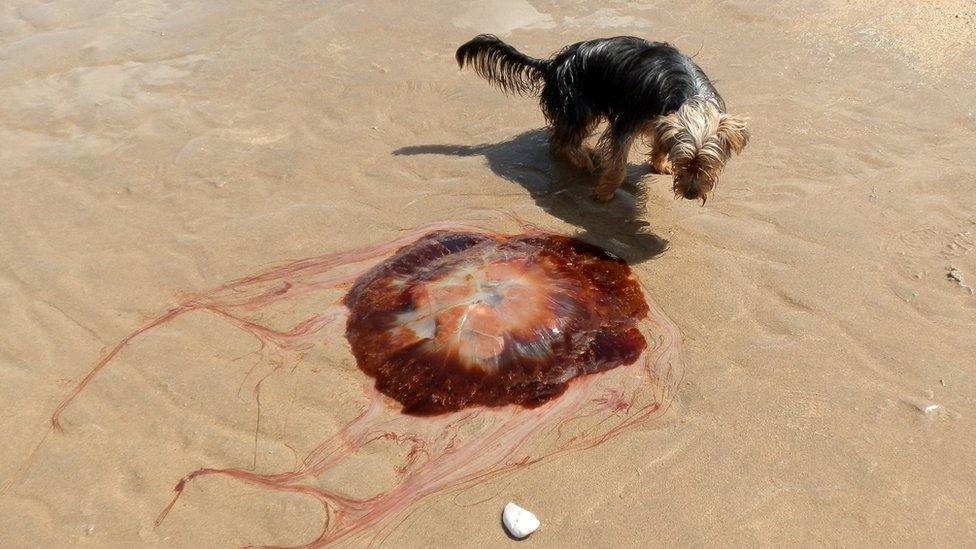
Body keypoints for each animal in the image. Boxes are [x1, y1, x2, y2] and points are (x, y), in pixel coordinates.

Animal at [456, 35, 748, 204]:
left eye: (708, 164)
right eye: (686, 162)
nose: (689, 194)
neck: (690, 97)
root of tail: (555, 63)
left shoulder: (660, 120)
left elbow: (659, 142)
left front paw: (659, 162)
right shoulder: (629, 120)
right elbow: (618, 164)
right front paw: (605, 191)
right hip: (580, 104)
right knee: (562, 139)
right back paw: (584, 159)